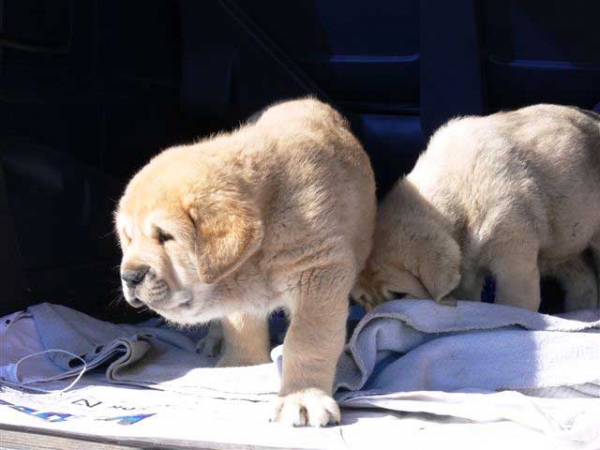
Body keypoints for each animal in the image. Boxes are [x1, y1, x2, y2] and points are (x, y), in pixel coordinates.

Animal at [116, 98, 376, 426]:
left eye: (165, 237)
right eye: (128, 238)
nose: (130, 276)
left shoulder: (319, 274)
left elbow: (307, 340)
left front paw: (303, 396)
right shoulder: (242, 292)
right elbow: (240, 326)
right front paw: (241, 367)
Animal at [352, 103, 600, 312]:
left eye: (398, 295)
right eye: (363, 301)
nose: (375, 317)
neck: (457, 191)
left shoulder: (512, 255)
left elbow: (515, 302)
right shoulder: (468, 269)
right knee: (582, 278)